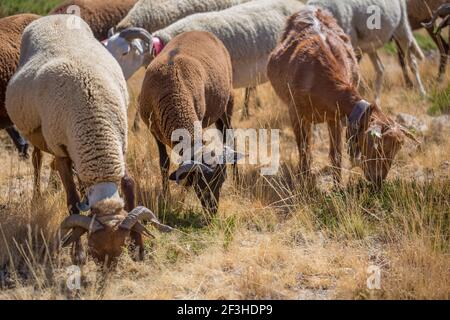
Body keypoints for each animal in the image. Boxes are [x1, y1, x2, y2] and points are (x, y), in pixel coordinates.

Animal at [6, 14, 173, 264]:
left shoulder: (118, 145)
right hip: (37, 134)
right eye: (95, 249)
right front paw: (78, 253)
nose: (109, 269)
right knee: (37, 161)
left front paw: (139, 248)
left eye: (120, 244)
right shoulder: (62, 152)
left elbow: (129, 189)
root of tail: (55, 16)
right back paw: (36, 195)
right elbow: (72, 201)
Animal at [139, 30, 234, 215]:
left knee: (230, 137)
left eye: (221, 181)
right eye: (200, 184)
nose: (213, 212)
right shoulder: (154, 131)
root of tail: (200, 31)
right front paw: (166, 199)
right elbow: (164, 164)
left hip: (227, 102)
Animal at [268, 7, 414, 186]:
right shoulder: (296, 113)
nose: (378, 180)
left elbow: (336, 154)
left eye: (396, 150)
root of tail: (311, 8)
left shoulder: (335, 116)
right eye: (378, 147)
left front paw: (338, 186)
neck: (317, 78)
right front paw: (304, 183)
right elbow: (304, 151)